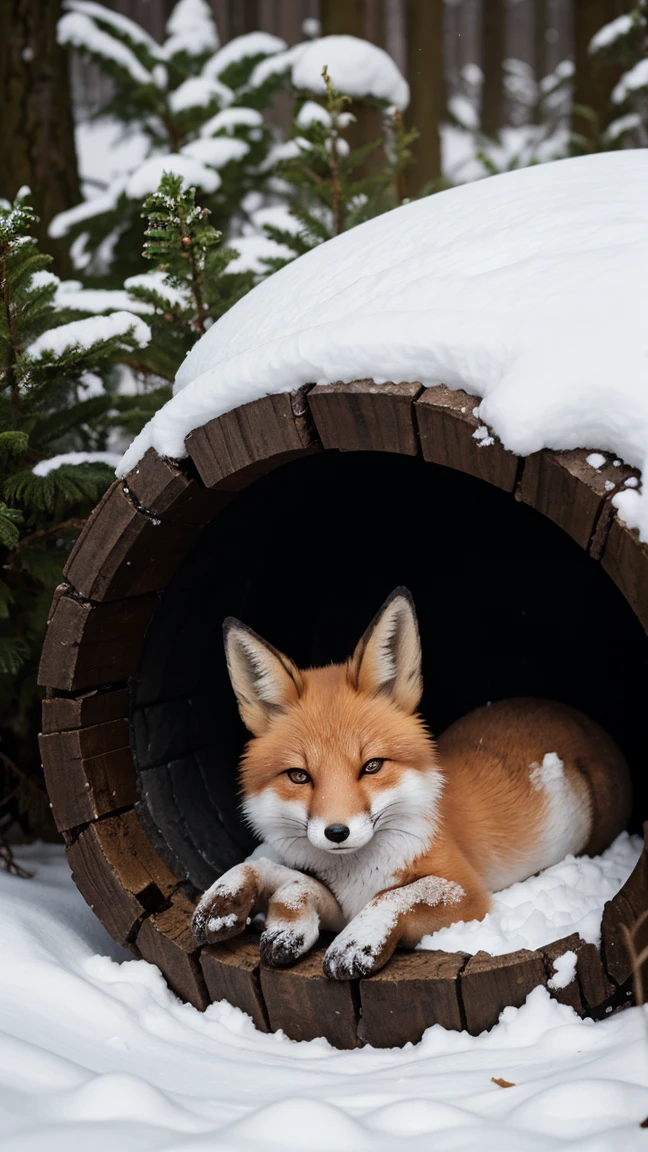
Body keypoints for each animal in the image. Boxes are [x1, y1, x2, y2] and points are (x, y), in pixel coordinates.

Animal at [191, 589, 631, 976]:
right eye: (299, 776)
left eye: (371, 766)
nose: (337, 832)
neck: (354, 875)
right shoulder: (340, 904)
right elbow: (276, 872)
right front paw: (234, 895)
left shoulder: (468, 894)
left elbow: (398, 895)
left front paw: (358, 939)